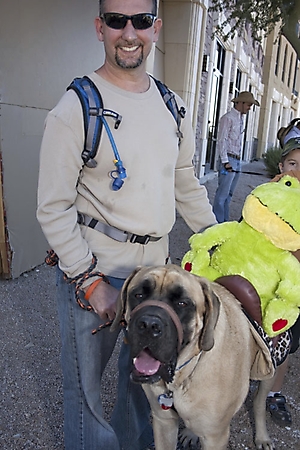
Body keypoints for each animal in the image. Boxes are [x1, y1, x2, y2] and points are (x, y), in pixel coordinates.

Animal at [112, 266, 276, 448]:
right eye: (139, 295)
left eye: (182, 303)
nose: (148, 325)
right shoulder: (163, 422)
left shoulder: (215, 437)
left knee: (259, 401)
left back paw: (262, 437)